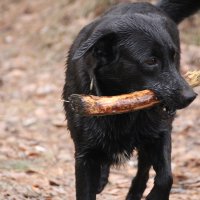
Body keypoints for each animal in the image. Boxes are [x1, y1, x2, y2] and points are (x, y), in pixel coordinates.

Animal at [62, 0, 198, 199]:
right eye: (151, 61)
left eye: (174, 57)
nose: (190, 96)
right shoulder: (84, 154)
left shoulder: (160, 132)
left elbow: (166, 177)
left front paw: (155, 196)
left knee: (143, 170)